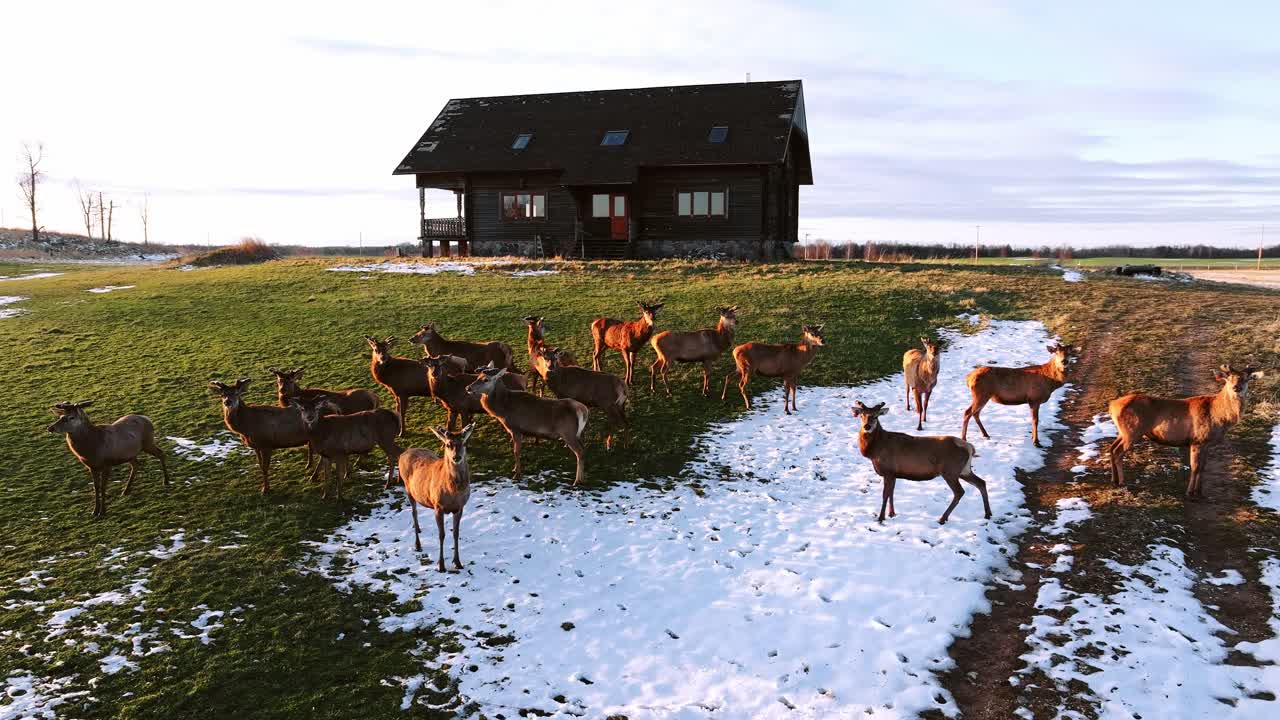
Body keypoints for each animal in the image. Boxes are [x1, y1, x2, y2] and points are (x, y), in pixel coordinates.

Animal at [399, 424, 475, 572]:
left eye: (464, 443)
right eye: (448, 444)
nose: (456, 457)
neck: (453, 492)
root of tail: (402, 453)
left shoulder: (460, 507)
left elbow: (456, 533)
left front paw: (458, 562)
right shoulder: (438, 506)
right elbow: (442, 535)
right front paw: (441, 565)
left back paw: (419, 529)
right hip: (408, 488)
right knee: (414, 513)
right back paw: (418, 544)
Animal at [851, 401, 991, 524]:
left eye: (876, 416)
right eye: (862, 415)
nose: (867, 427)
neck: (875, 451)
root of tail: (970, 448)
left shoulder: (888, 471)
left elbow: (885, 495)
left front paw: (881, 518)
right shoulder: (894, 473)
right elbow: (892, 493)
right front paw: (892, 514)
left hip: (950, 471)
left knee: (960, 492)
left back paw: (942, 518)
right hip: (964, 470)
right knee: (981, 482)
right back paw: (988, 514)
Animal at [1108, 364, 1264, 497]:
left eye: (1246, 378)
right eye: (1228, 378)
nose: (1237, 387)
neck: (1218, 415)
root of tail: (1112, 405)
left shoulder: (1207, 443)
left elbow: (1203, 467)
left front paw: (1200, 491)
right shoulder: (1197, 440)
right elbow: (1194, 467)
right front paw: (1190, 492)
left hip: (1123, 432)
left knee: (1111, 448)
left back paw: (1114, 479)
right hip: (1132, 431)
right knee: (1118, 452)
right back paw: (1121, 482)